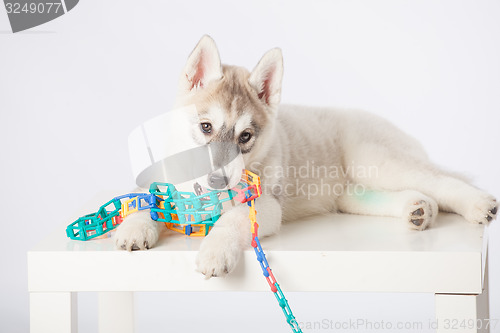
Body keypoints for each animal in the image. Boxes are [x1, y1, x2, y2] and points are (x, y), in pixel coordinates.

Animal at [116, 35, 496, 276]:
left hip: (375, 161)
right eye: (206, 127)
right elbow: (143, 201)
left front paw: (214, 250)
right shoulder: (161, 187)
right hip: (349, 192)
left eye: (245, 137)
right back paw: (418, 210)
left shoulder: (265, 207)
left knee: (441, 182)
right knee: (406, 194)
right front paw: (134, 228)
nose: (217, 179)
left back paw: (478, 205)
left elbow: (231, 220)